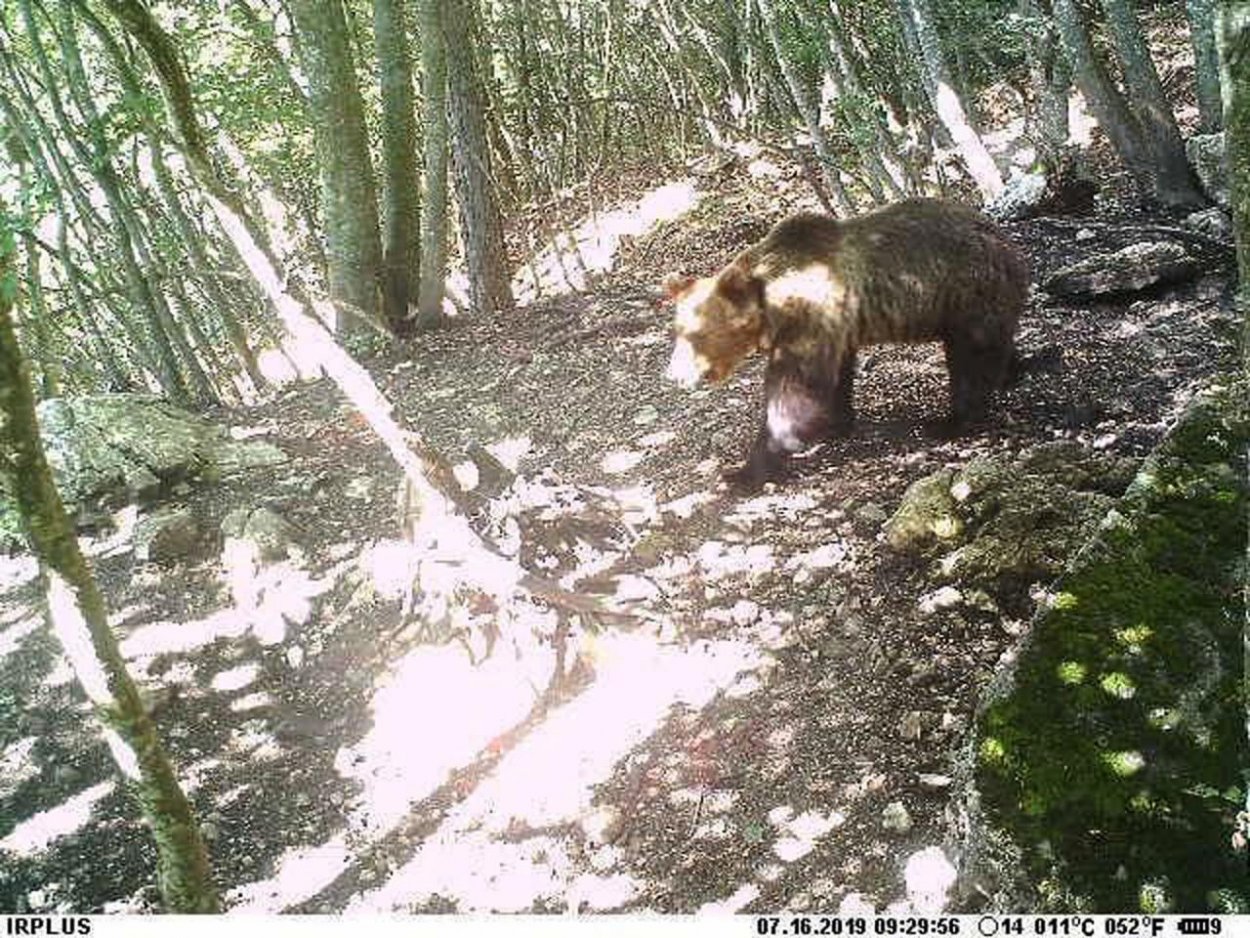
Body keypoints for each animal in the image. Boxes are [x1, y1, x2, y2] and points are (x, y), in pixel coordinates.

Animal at [670, 201, 1030, 487]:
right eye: (677, 330)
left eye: (696, 334)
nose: (673, 375)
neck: (771, 304)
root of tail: (1005, 240)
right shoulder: (834, 327)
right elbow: (835, 377)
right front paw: (835, 422)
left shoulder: (807, 316)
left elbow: (795, 390)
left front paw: (746, 471)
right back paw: (1015, 371)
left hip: (965, 291)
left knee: (972, 358)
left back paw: (950, 421)